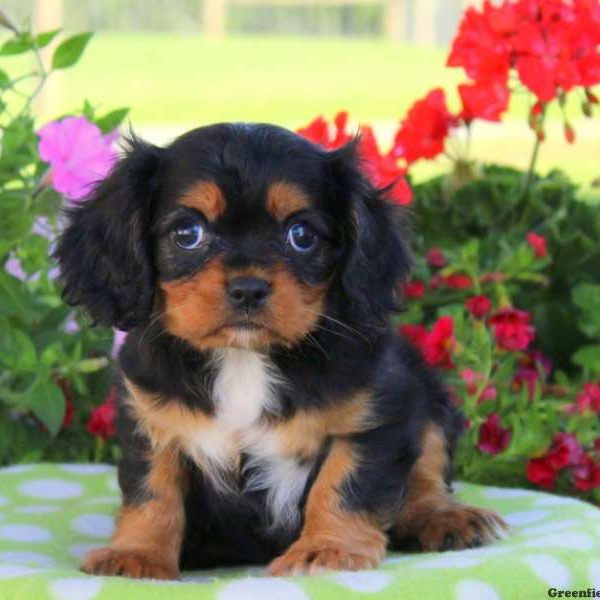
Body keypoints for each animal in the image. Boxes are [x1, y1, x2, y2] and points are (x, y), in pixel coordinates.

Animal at [55, 124, 506, 580]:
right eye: (187, 234)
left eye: (301, 235)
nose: (248, 289)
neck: (243, 358)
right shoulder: (151, 422)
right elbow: (152, 491)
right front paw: (137, 555)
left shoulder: (377, 412)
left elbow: (344, 483)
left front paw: (327, 548)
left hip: (427, 390)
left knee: (427, 472)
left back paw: (445, 517)